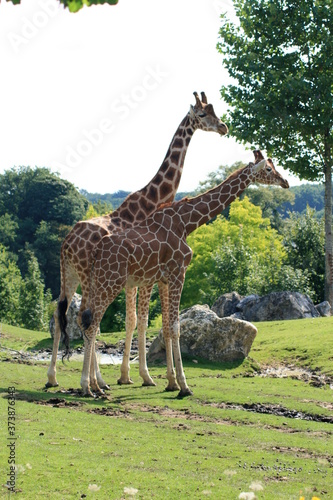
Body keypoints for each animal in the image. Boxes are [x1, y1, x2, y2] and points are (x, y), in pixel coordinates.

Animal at [46, 93, 227, 390]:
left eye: (215, 111)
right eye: (202, 115)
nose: (223, 127)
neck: (150, 202)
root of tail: (67, 244)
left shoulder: (136, 278)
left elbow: (133, 320)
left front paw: (129, 375)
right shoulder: (143, 276)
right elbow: (138, 320)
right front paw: (142, 376)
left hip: (69, 275)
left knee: (61, 316)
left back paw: (53, 378)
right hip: (88, 277)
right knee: (86, 317)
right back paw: (94, 381)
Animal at [71, 150, 290, 396]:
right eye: (269, 169)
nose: (285, 182)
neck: (186, 222)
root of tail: (96, 251)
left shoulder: (165, 279)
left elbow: (167, 327)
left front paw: (171, 382)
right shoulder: (178, 273)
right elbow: (176, 328)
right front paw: (184, 386)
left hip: (98, 282)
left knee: (87, 322)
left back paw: (95, 386)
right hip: (111, 282)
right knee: (92, 325)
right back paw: (87, 387)